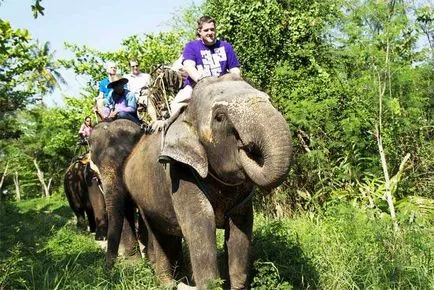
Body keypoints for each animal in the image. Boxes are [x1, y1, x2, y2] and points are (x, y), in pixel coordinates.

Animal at [90, 73, 294, 288]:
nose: (247, 146)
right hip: (144, 197)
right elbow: (200, 224)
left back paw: (181, 278)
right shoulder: (180, 173)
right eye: (219, 117)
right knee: (157, 232)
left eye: (269, 100)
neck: (187, 114)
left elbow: (240, 228)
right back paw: (168, 283)